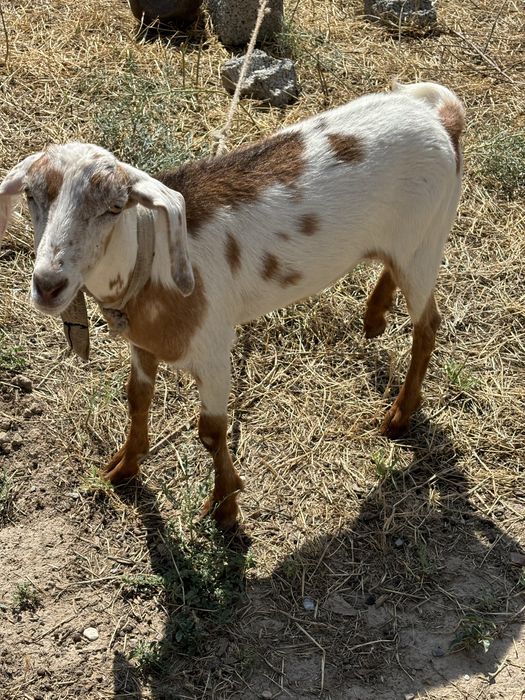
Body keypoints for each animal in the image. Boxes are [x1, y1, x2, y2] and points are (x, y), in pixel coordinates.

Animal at [0, 81, 464, 528]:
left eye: (115, 207)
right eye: (31, 196)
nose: (48, 284)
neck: (152, 261)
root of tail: (443, 118)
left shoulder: (213, 350)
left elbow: (210, 431)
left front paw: (225, 508)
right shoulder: (144, 345)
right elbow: (137, 399)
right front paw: (123, 468)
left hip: (426, 239)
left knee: (428, 323)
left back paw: (400, 414)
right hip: (408, 242)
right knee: (392, 269)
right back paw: (374, 317)